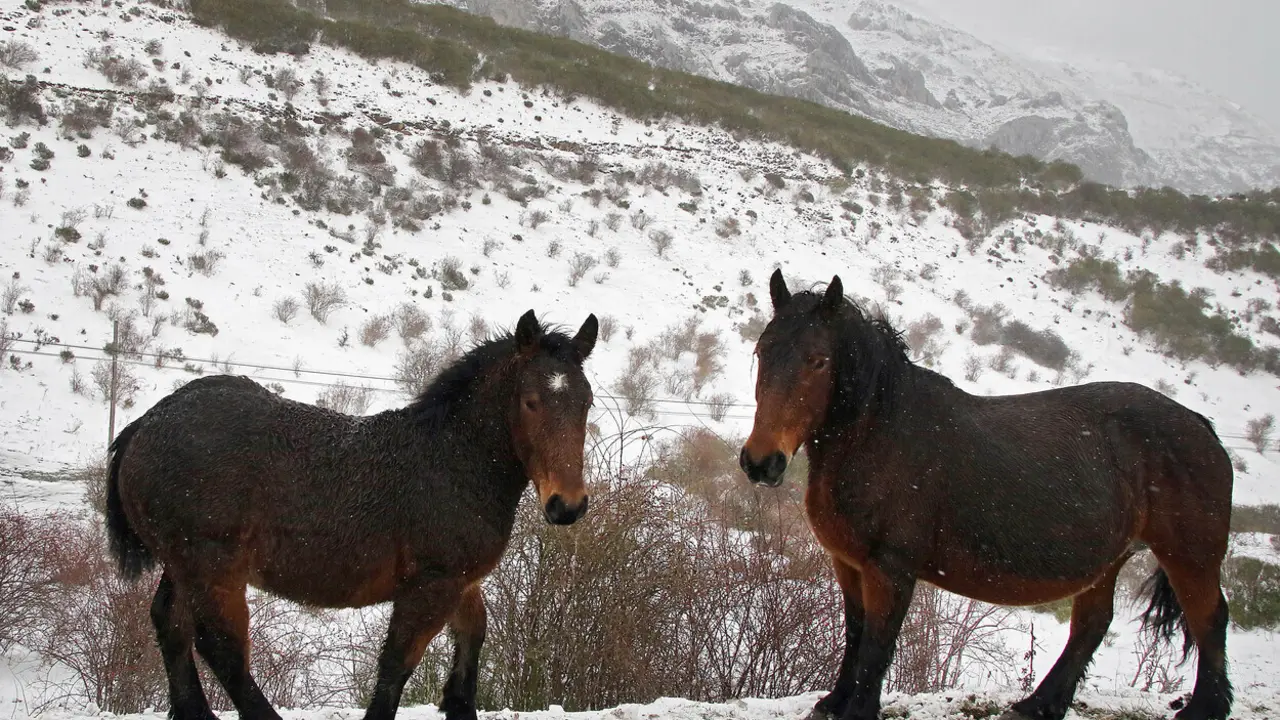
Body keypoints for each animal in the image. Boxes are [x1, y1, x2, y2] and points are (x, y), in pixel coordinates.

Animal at [104, 307, 599, 717]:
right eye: (530, 401)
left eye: (587, 402)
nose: (567, 505)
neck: (451, 460)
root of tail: (144, 425)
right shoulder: (431, 585)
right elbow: (395, 667)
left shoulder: (461, 582)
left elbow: (469, 651)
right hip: (211, 565)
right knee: (221, 647)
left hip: (182, 564)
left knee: (171, 626)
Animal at [747, 267, 1233, 717]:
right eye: (762, 351)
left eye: (818, 361)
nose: (760, 462)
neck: (880, 433)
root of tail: (1200, 426)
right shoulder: (849, 564)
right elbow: (856, 632)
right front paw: (834, 701)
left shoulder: (891, 570)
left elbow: (878, 645)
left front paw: (858, 709)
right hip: (1107, 561)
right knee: (1092, 624)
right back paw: (1038, 705)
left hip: (1189, 555)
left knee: (1210, 618)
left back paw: (1203, 708)